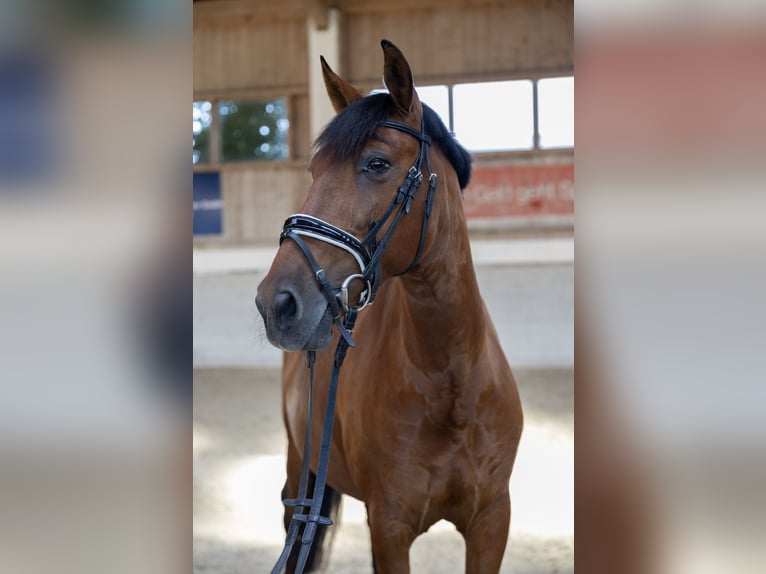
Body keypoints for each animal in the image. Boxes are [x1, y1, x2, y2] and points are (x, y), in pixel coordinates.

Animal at [255, 39, 523, 574]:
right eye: (313, 172)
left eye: (377, 164)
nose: (276, 303)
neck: (451, 387)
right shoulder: (390, 525)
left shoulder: (491, 522)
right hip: (300, 471)